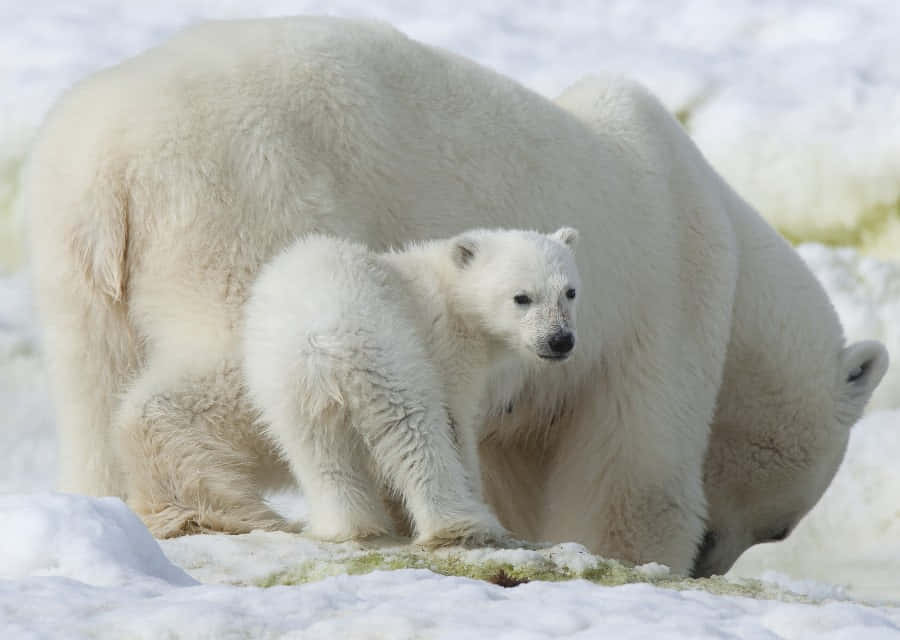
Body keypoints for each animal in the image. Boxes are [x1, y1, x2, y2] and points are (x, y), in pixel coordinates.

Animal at [241, 228, 580, 545]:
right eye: (521, 297)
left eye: (570, 291)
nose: (560, 340)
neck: (452, 291)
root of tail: (320, 340)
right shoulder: (448, 352)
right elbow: (456, 423)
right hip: (387, 351)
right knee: (413, 427)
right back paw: (462, 524)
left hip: (283, 383)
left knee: (315, 449)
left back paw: (349, 526)